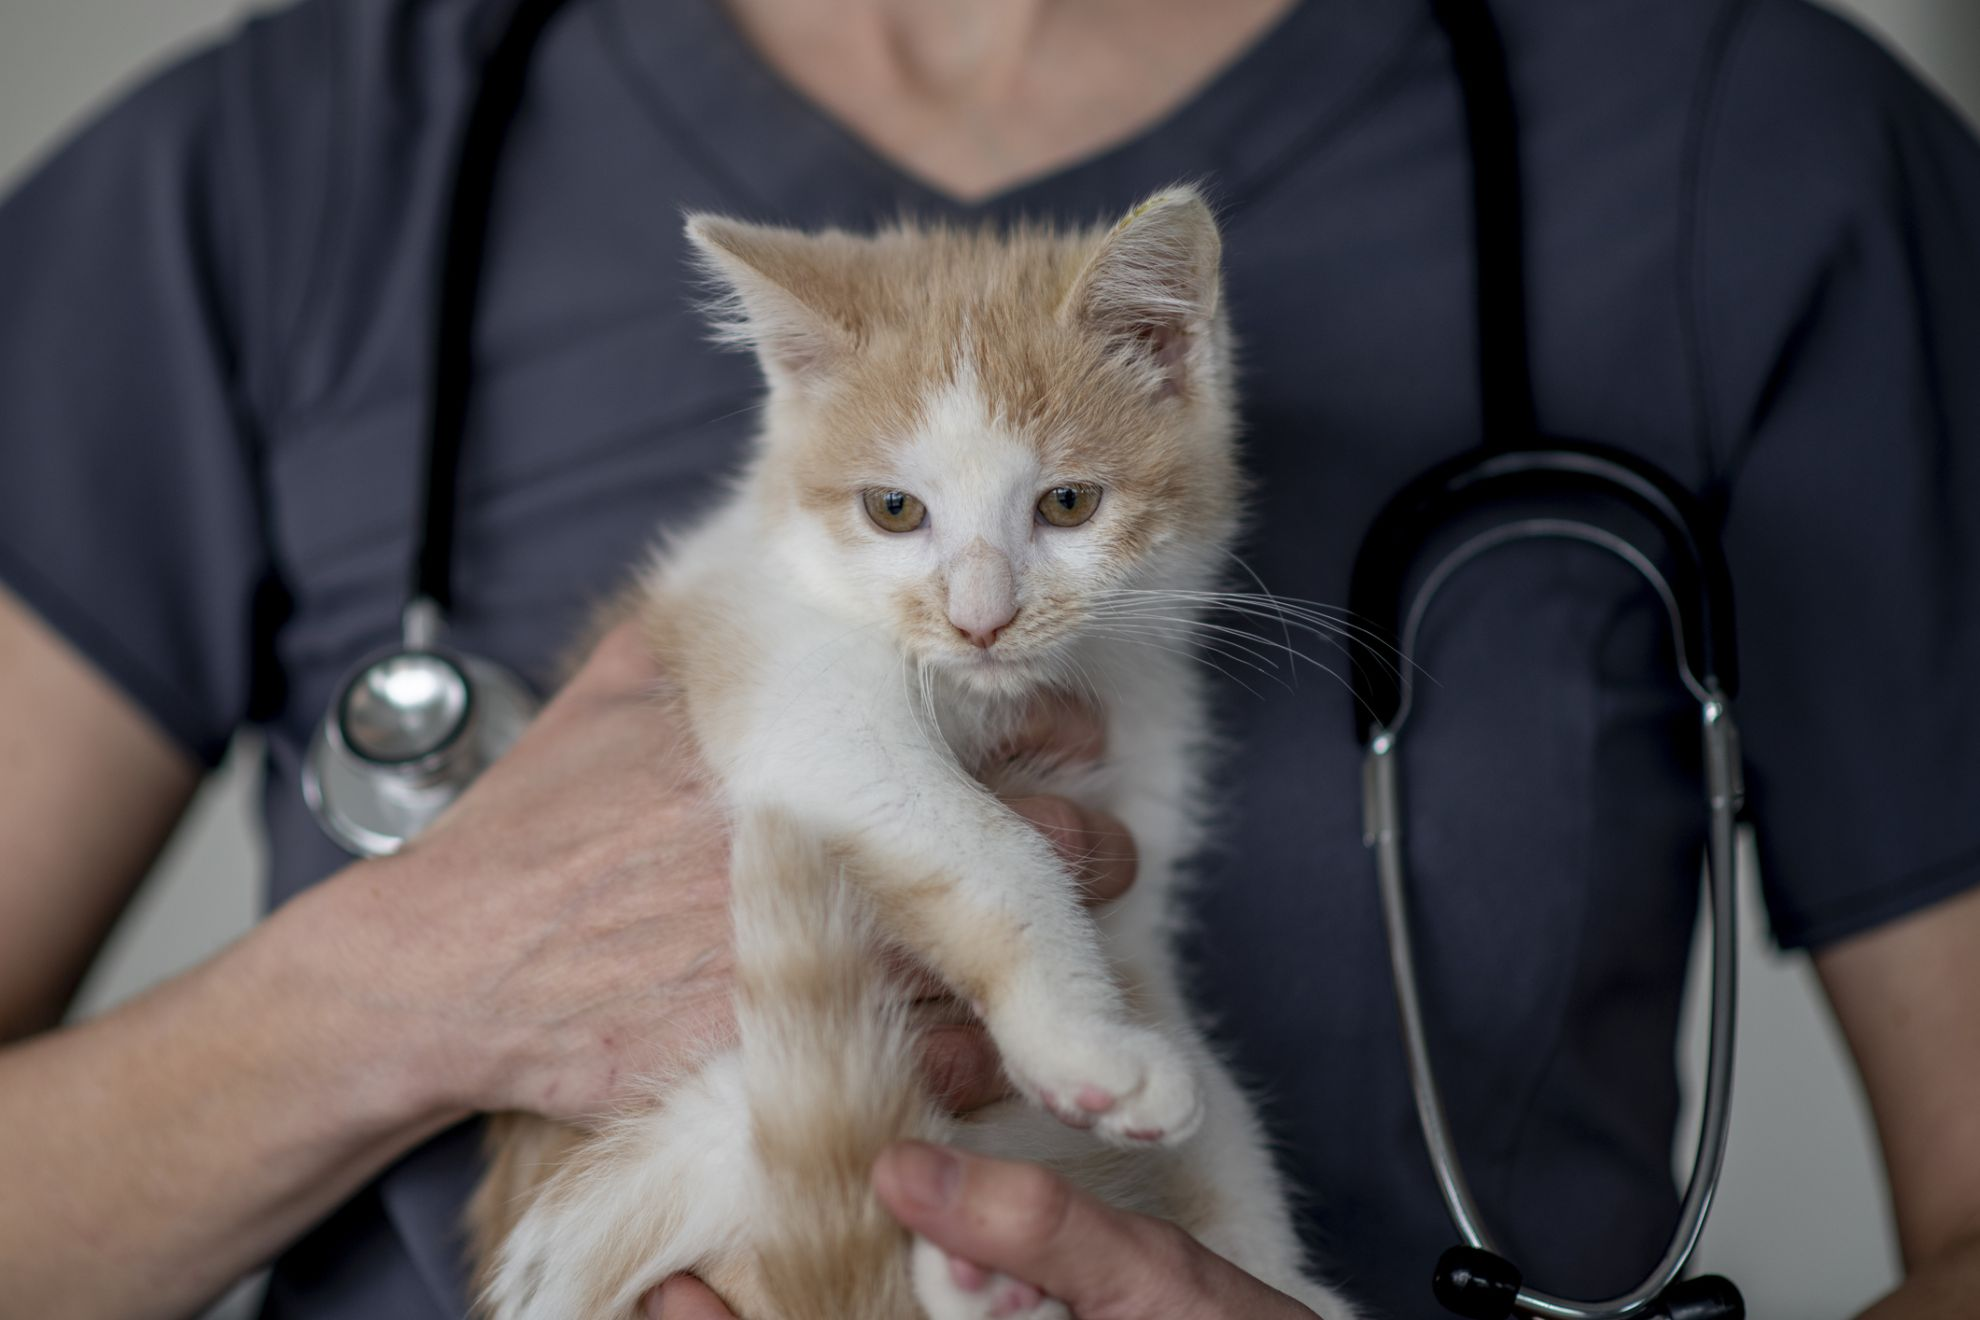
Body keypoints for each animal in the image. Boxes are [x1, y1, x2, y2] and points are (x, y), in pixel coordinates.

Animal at [467, 188, 1362, 1320]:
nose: (982, 620)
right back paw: (972, 1275)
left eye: (1068, 503)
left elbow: (1202, 1077)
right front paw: (1089, 1044)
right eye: (892, 510)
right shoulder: (794, 681)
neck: (998, 695)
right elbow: (993, 851)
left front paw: (1262, 1266)